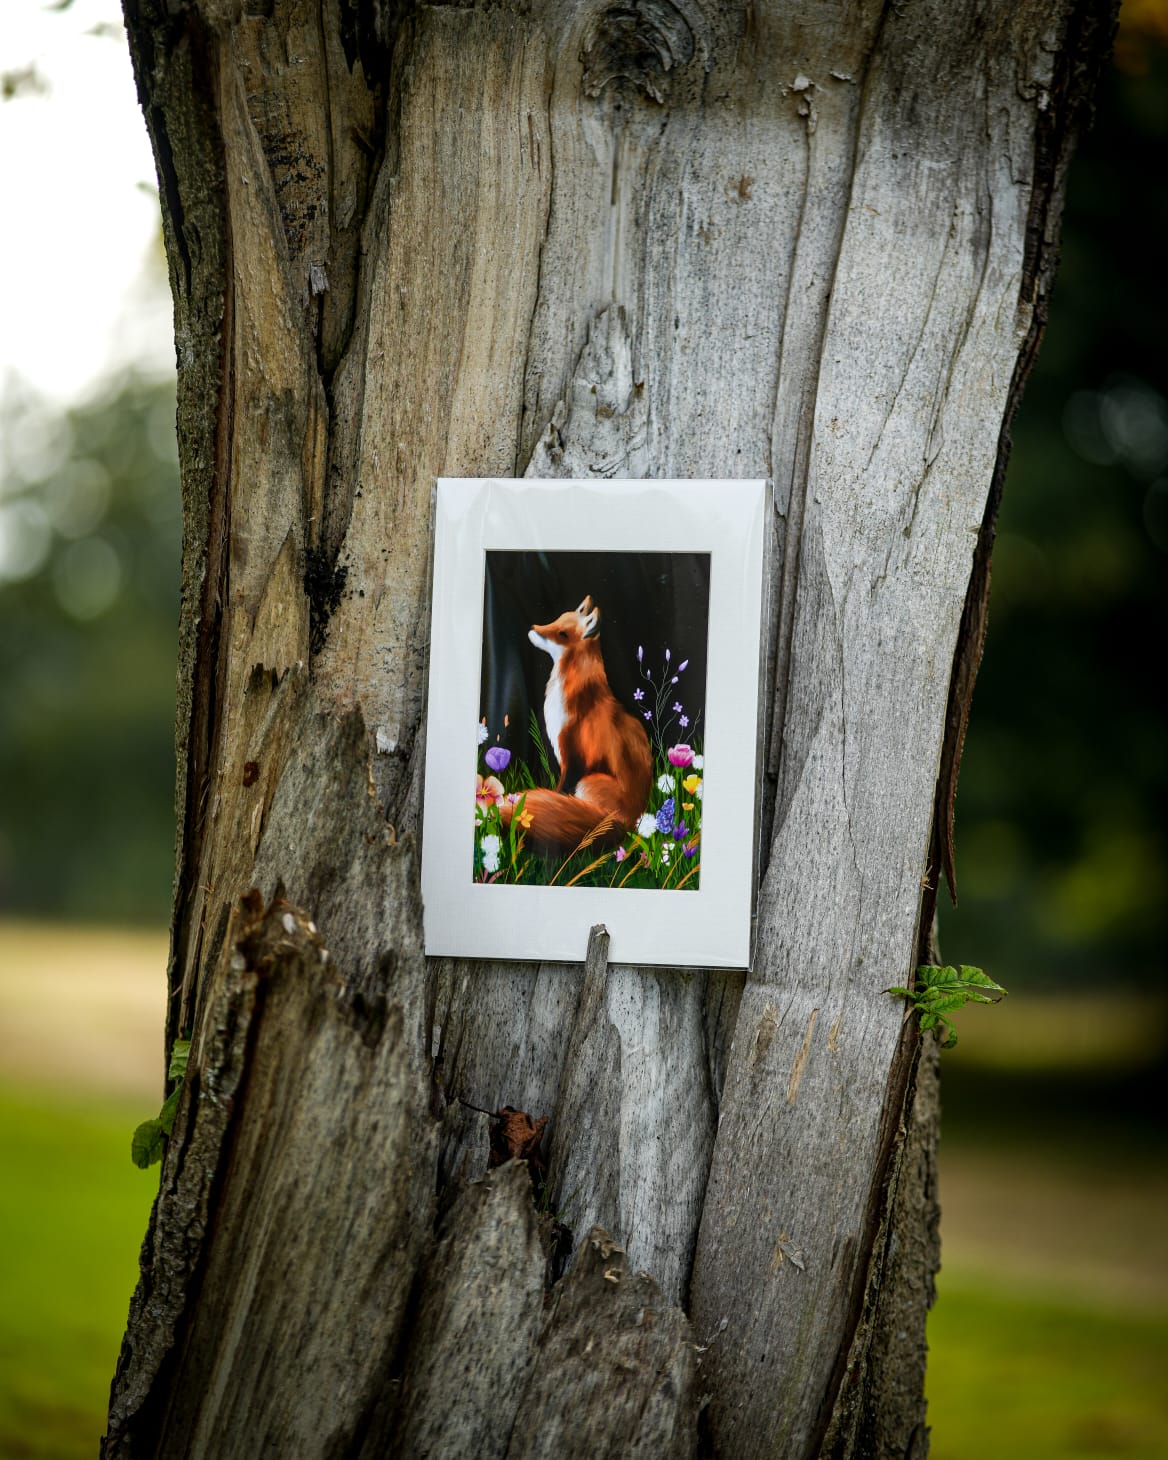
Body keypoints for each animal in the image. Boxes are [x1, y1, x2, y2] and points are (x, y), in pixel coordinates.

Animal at [496, 598, 651, 858]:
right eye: (557, 619)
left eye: (562, 634)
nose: (533, 627)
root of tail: (628, 821)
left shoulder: (573, 755)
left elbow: (560, 790)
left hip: (589, 781)